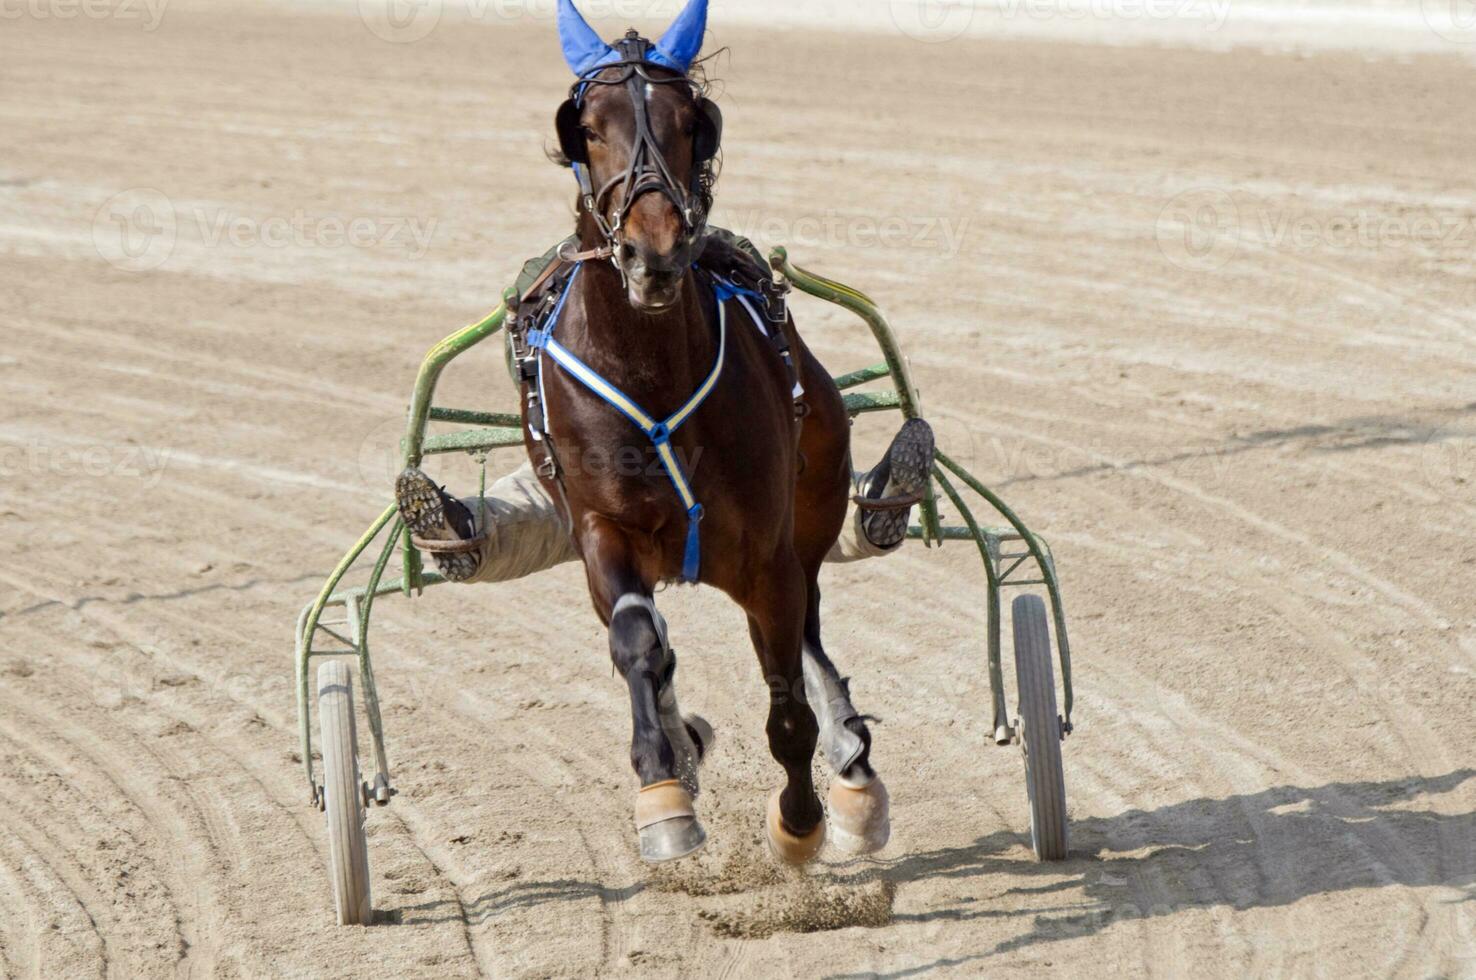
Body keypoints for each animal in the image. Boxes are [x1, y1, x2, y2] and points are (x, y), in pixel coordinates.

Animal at [513, 0, 891, 861]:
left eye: (691, 123)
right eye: (589, 127)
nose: (653, 251)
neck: (651, 368)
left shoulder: (769, 554)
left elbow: (788, 696)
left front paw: (800, 821)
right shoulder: (599, 527)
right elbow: (636, 641)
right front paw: (664, 793)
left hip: (809, 511)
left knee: (808, 631)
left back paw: (853, 772)